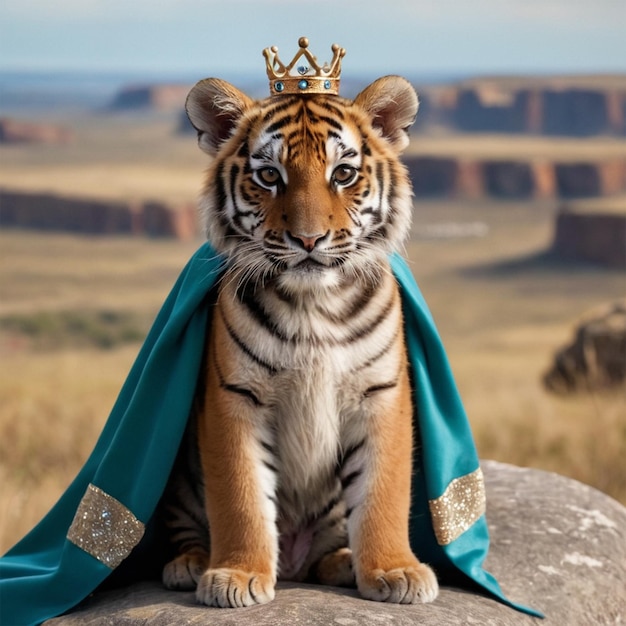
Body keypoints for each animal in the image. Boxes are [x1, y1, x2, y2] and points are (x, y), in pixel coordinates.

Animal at [158, 72, 436, 604]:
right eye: (269, 176)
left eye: (343, 174)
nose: (309, 241)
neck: (315, 306)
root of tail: (292, 563)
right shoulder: (235, 397)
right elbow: (241, 495)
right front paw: (237, 575)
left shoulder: (381, 394)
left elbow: (383, 491)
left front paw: (396, 570)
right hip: (181, 482)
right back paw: (191, 564)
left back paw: (344, 562)